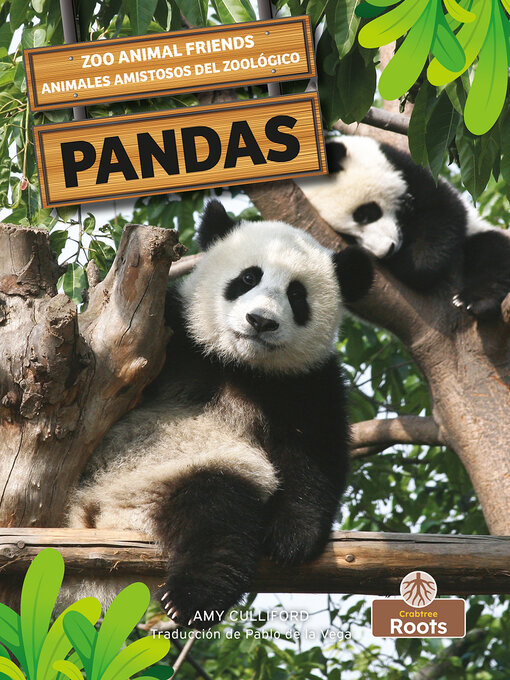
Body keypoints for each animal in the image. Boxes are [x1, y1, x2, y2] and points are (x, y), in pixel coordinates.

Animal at [66, 200, 374, 629]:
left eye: (297, 294)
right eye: (247, 278)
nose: (261, 321)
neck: (236, 364)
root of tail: (99, 517)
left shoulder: (305, 383)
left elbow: (314, 455)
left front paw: (292, 537)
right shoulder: (173, 332)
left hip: (179, 475)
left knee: (218, 515)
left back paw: (192, 596)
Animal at [298, 136, 510, 320]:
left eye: (364, 214)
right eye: (349, 237)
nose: (387, 250)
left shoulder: (412, 173)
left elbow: (442, 214)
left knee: (492, 254)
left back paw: (474, 301)